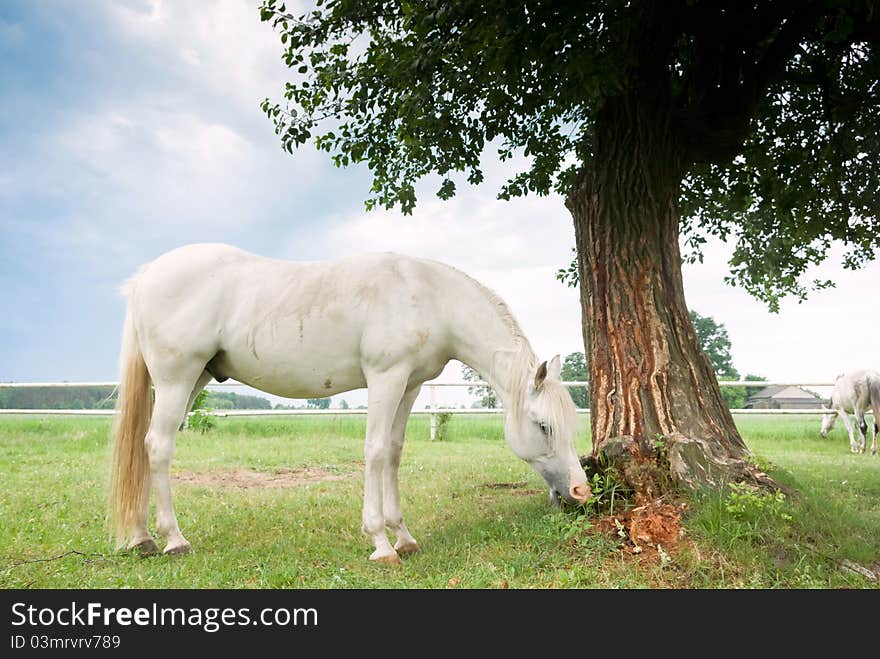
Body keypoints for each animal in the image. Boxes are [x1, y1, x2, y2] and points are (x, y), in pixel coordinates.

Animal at [110, 242, 592, 564]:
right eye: (544, 426)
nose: (580, 491)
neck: (427, 295)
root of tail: (149, 274)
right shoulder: (385, 378)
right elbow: (375, 452)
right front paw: (380, 543)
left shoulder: (409, 386)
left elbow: (393, 453)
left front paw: (404, 537)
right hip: (177, 380)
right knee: (158, 446)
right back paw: (173, 539)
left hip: (196, 379)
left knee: (144, 449)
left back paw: (141, 537)